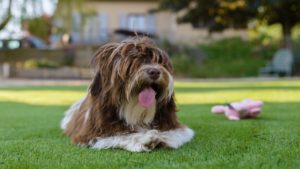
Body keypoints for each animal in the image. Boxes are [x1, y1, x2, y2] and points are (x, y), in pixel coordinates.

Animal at [60, 36, 195, 152]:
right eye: (133, 63)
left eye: (160, 62)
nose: (155, 71)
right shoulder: (91, 134)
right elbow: (119, 135)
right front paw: (146, 139)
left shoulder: (174, 125)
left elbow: (176, 133)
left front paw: (163, 136)